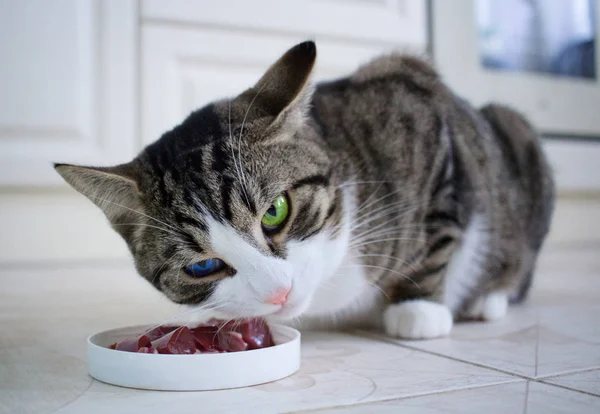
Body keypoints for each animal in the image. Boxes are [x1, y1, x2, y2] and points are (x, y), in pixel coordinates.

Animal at [55, 41, 552, 340]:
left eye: (275, 211)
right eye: (203, 267)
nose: (278, 293)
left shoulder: (419, 106)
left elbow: (436, 230)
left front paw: (418, 309)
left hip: (518, 136)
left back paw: (489, 297)